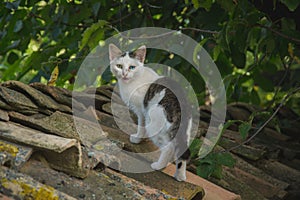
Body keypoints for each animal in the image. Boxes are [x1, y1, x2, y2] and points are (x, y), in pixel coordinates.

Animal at [108, 43, 192, 181]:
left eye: (132, 67)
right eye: (119, 66)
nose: (124, 74)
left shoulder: (142, 111)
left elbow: (141, 126)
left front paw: (137, 138)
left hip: (154, 120)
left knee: (169, 147)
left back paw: (158, 165)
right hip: (184, 131)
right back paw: (180, 176)